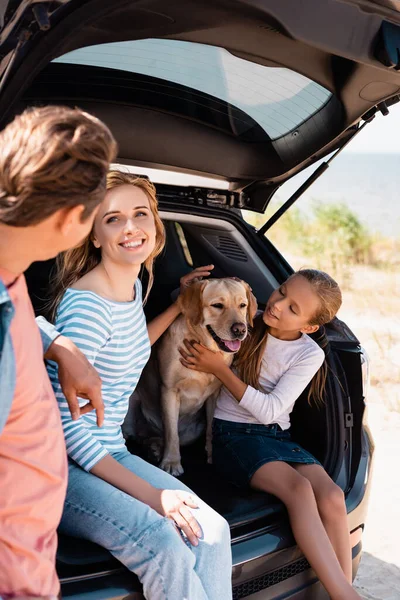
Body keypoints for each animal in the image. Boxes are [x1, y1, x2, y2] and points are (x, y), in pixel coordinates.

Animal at [148, 278, 256, 478]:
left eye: (242, 305)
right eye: (217, 305)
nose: (240, 329)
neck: (205, 346)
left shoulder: (214, 395)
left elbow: (211, 429)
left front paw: (212, 454)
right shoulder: (169, 390)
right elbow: (172, 433)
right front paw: (171, 462)